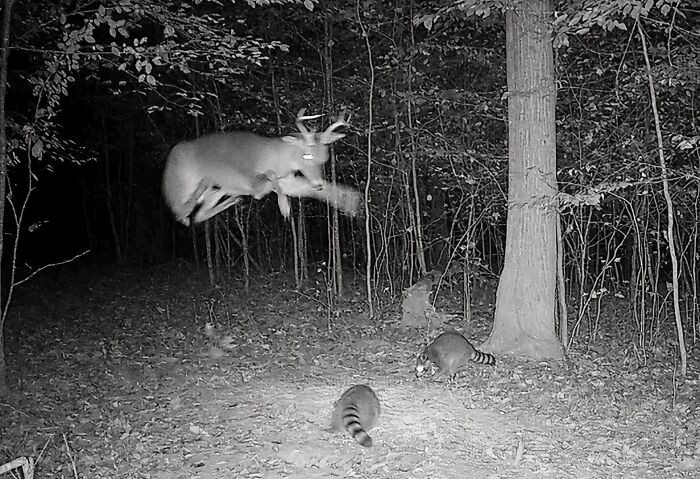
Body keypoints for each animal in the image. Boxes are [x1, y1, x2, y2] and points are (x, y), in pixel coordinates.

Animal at [162, 109, 358, 225]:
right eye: (306, 155)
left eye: (325, 157)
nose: (318, 183)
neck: (274, 158)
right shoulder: (253, 179)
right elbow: (267, 179)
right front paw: (284, 208)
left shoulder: (288, 181)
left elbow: (314, 190)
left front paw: (351, 202)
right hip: (180, 185)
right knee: (181, 212)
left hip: (212, 195)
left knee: (198, 215)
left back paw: (231, 198)